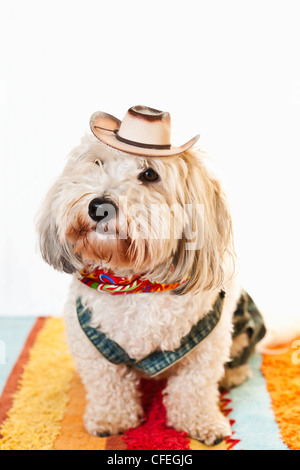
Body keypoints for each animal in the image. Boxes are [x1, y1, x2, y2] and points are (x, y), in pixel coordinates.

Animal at [36, 105, 264, 444]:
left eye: (149, 175)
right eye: (97, 162)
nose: (99, 206)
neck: (134, 284)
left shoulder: (206, 346)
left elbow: (194, 388)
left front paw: (202, 422)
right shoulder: (90, 342)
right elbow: (108, 384)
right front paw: (111, 418)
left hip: (245, 327)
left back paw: (233, 375)